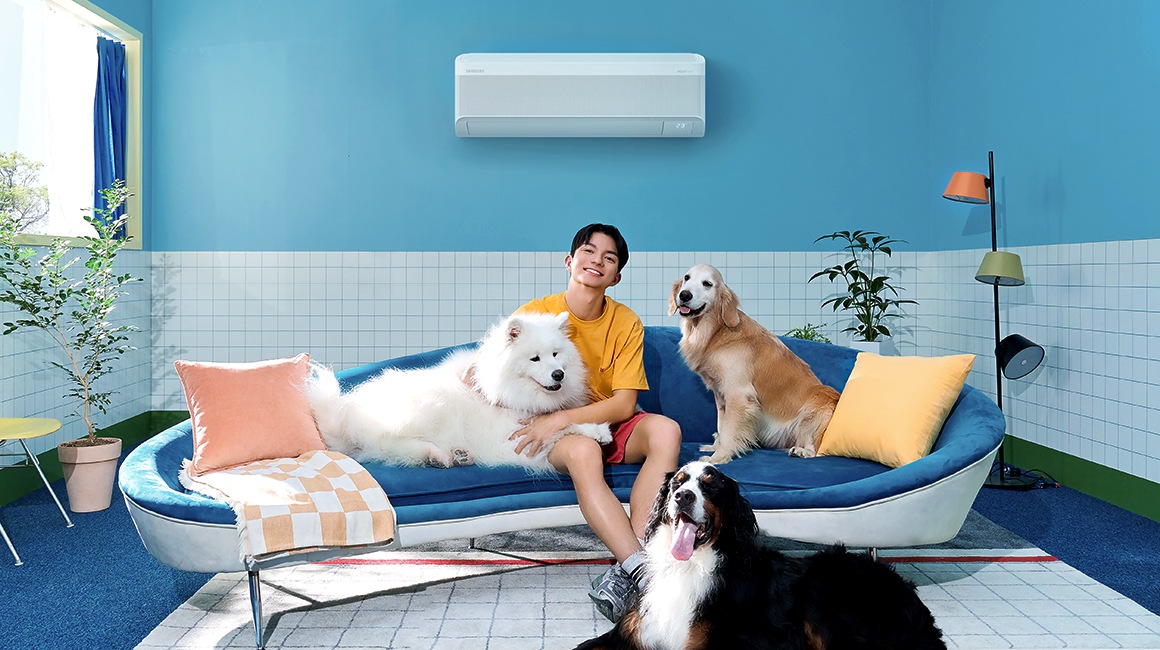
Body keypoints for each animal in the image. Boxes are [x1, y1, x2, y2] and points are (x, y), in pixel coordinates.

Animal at [308, 313, 617, 468]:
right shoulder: (512, 436)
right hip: (428, 407)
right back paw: (439, 455)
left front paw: (596, 429)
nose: (558, 374)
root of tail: (345, 417)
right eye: (535, 358)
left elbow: (560, 419)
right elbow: (557, 426)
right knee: (387, 443)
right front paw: (598, 431)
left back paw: (454, 455)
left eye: (555, 354)